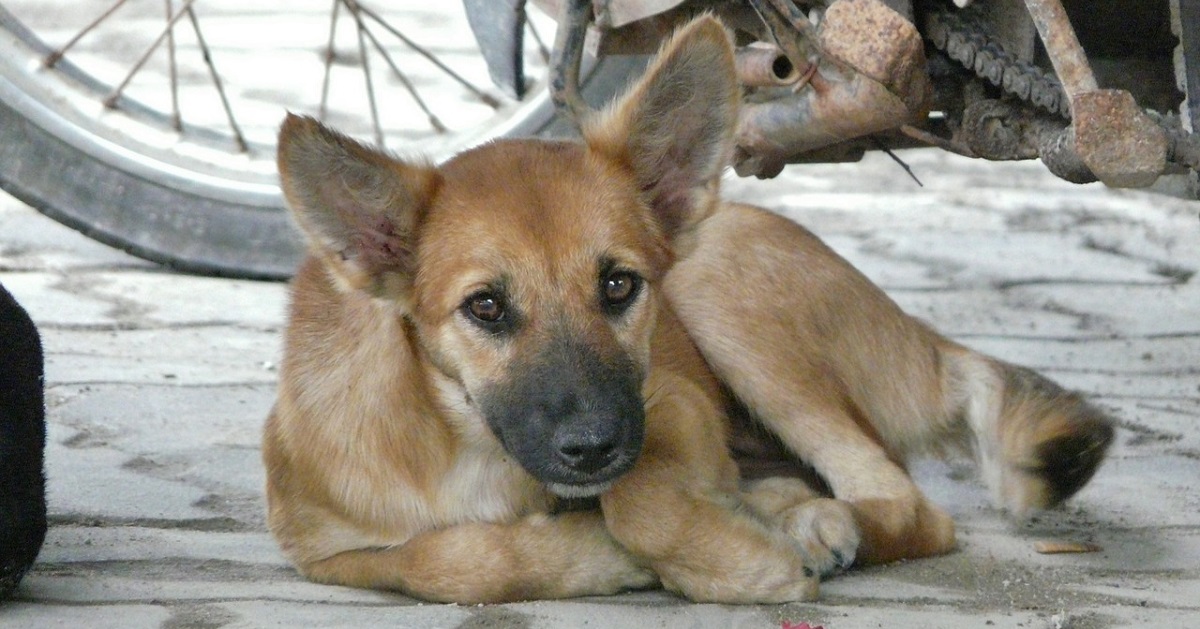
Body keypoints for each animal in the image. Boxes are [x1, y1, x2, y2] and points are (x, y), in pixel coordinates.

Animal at [265, 15, 1113, 604]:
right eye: (486, 307)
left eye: (619, 285)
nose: (593, 447)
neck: (462, 442)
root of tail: (919, 338)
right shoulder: (314, 539)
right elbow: (444, 560)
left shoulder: (667, 403)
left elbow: (638, 501)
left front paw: (735, 558)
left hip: (723, 297)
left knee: (906, 503)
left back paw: (808, 522)